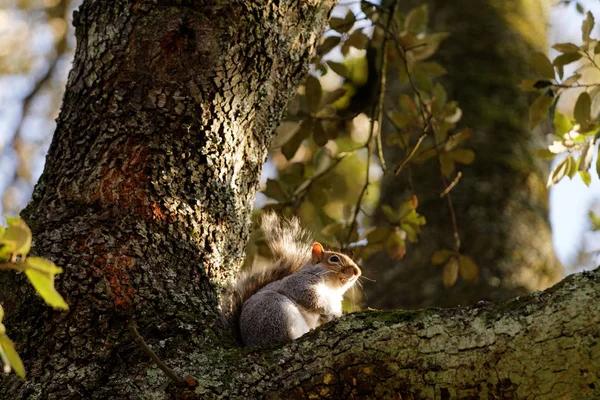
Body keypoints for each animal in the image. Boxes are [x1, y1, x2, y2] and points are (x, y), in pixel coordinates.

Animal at [220, 212, 360, 346]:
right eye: (334, 259)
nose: (357, 271)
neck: (332, 288)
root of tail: (251, 343)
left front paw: (333, 315)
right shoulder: (299, 283)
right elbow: (310, 298)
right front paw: (330, 311)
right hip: (275, 310)